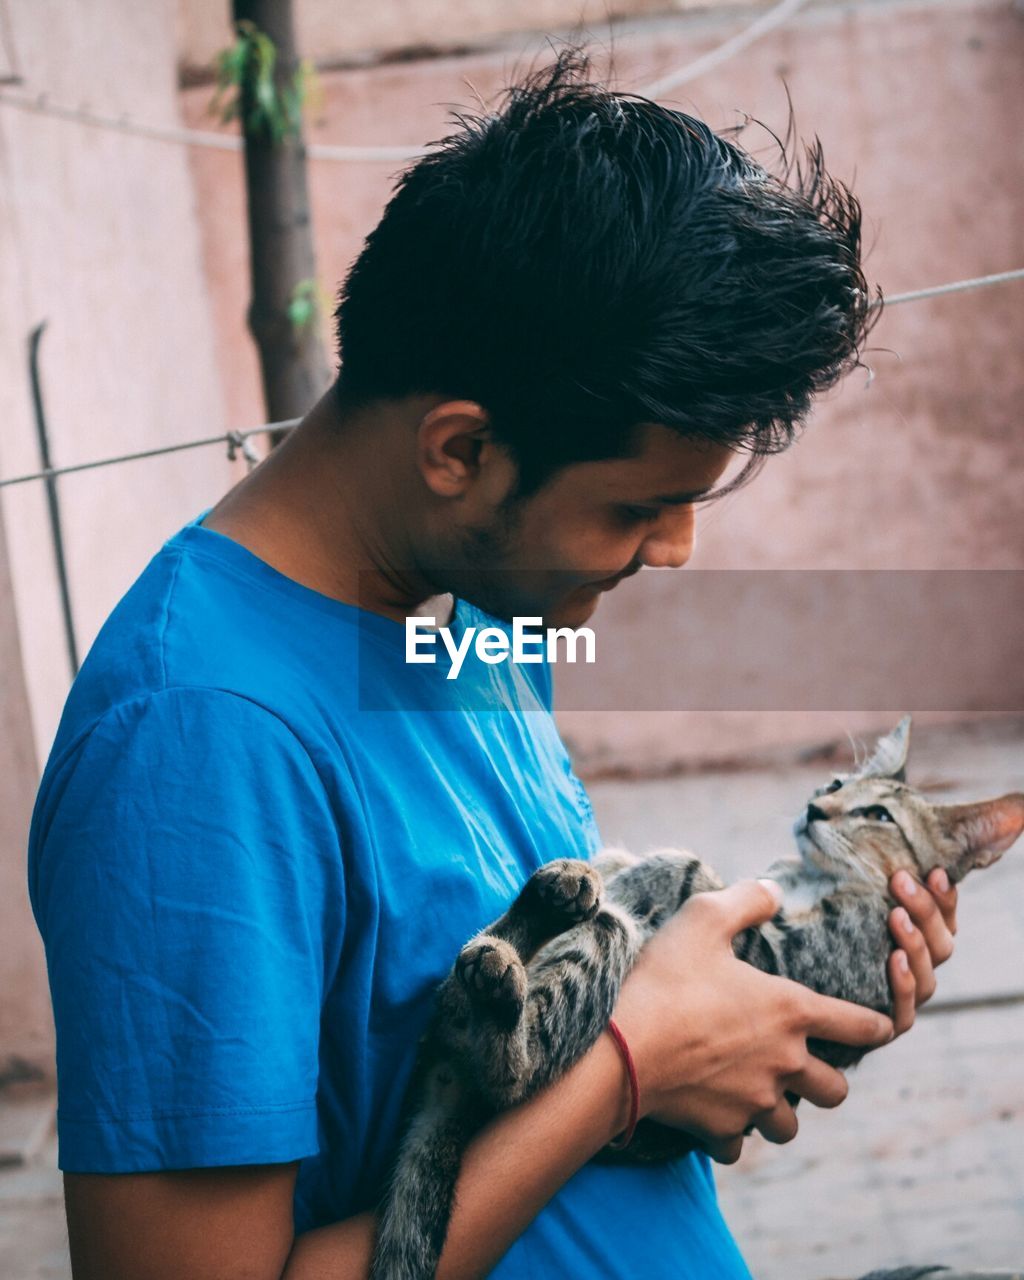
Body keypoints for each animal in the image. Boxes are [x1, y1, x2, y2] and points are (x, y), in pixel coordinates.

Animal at [371, 721, 1024, 1280]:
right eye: (837, 784)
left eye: (879, 814)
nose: (815, 808)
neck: (818, 879)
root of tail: (444, 1087)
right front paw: (620, 864)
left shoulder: (784, 959)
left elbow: (691, 867)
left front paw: (643, 871)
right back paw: (553, 897)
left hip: (587, 960)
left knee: (512, 1058)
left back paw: (519, 958)